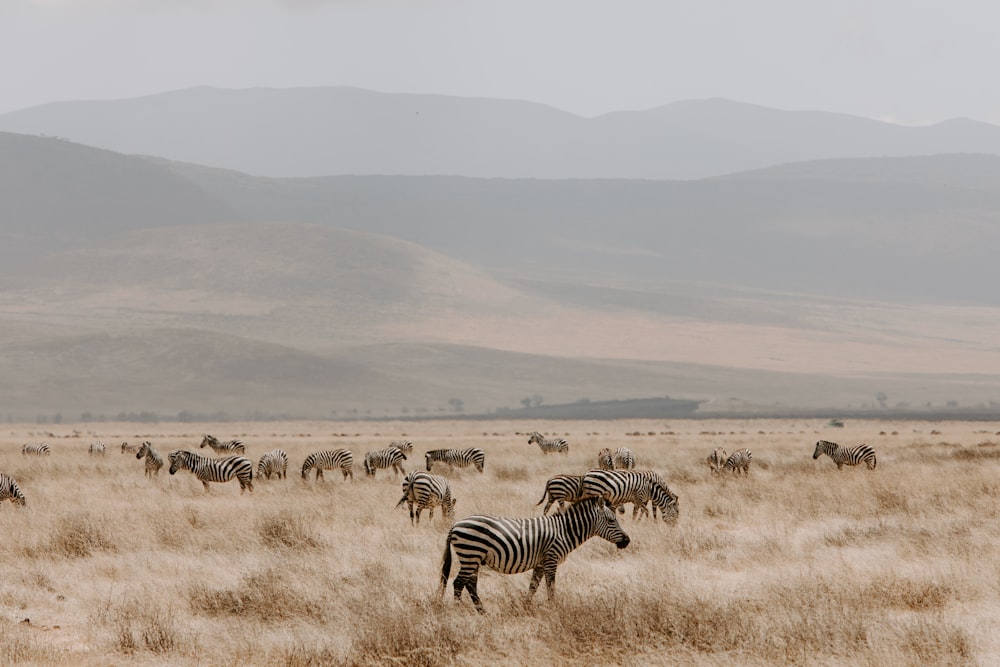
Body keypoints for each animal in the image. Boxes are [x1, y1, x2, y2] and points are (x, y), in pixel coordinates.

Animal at [442, 496, 628, 616]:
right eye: (611, 520)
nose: (627, 541)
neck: (564, 531)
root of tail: (455, 524)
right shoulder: (551, 559)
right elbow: (550, 587)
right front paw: (553, 610)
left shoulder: (540, 563)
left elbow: (533, 586)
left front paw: (526, 608)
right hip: (471, 554)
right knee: (459, 583)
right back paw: (458, 611)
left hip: (474, 558)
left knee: (470, 584)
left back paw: (482, 612)